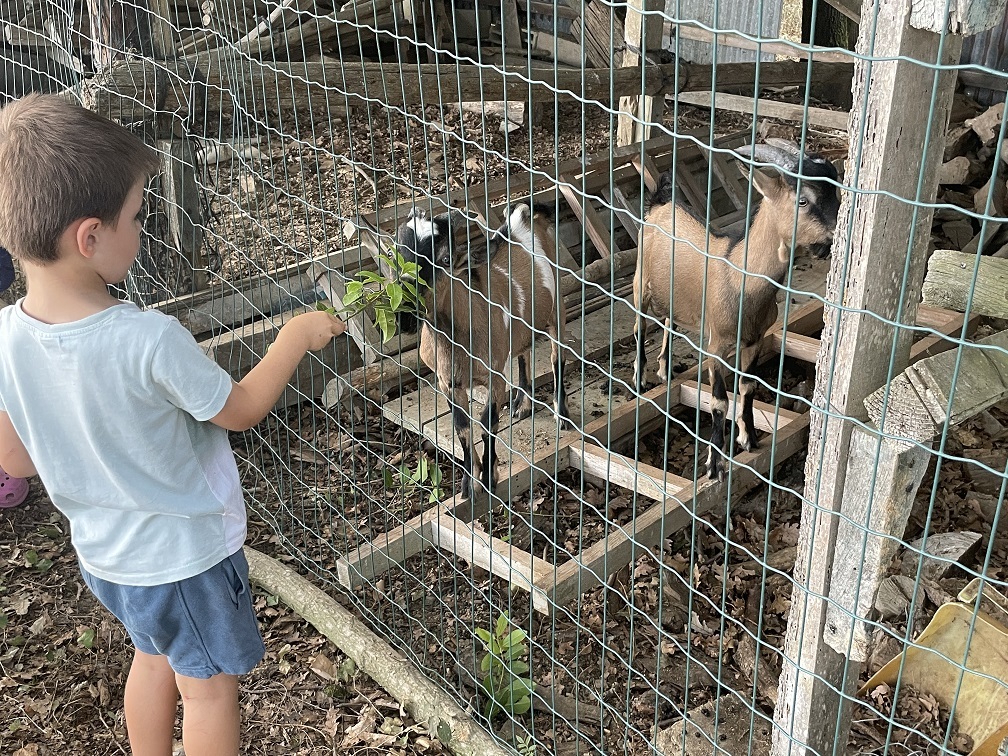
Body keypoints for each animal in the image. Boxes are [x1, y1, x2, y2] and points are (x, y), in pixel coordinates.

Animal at [393, 201, 568, 499]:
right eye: (395, 254)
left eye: (445, 260)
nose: (405, 314)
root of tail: (521, 219)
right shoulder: (447, 383)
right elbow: (462, 428)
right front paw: (469, 482)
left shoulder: (494, 374)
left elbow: (488, 423)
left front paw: (490, 477)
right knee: (524, 351)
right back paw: (522, 405)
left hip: (558, 309)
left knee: (557, 356)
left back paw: (562, 413)